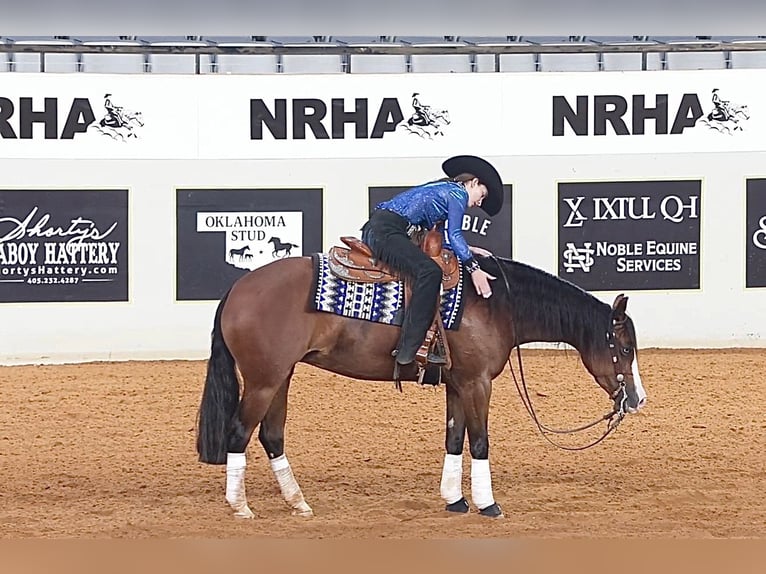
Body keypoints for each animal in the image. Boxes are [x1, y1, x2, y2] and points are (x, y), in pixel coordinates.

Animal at [196, 254, 647, 519]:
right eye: (625, 347)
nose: (637, 400)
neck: (496, 304)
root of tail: (237, 289)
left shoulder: (458, 384)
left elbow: (454, 438)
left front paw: (455, 500)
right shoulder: (477, 383)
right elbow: (479, 442)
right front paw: (488, 504)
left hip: (280, 377)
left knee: (271, 435)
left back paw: (297, 502)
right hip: (263, 380)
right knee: (239, 432)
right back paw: (241, 507)